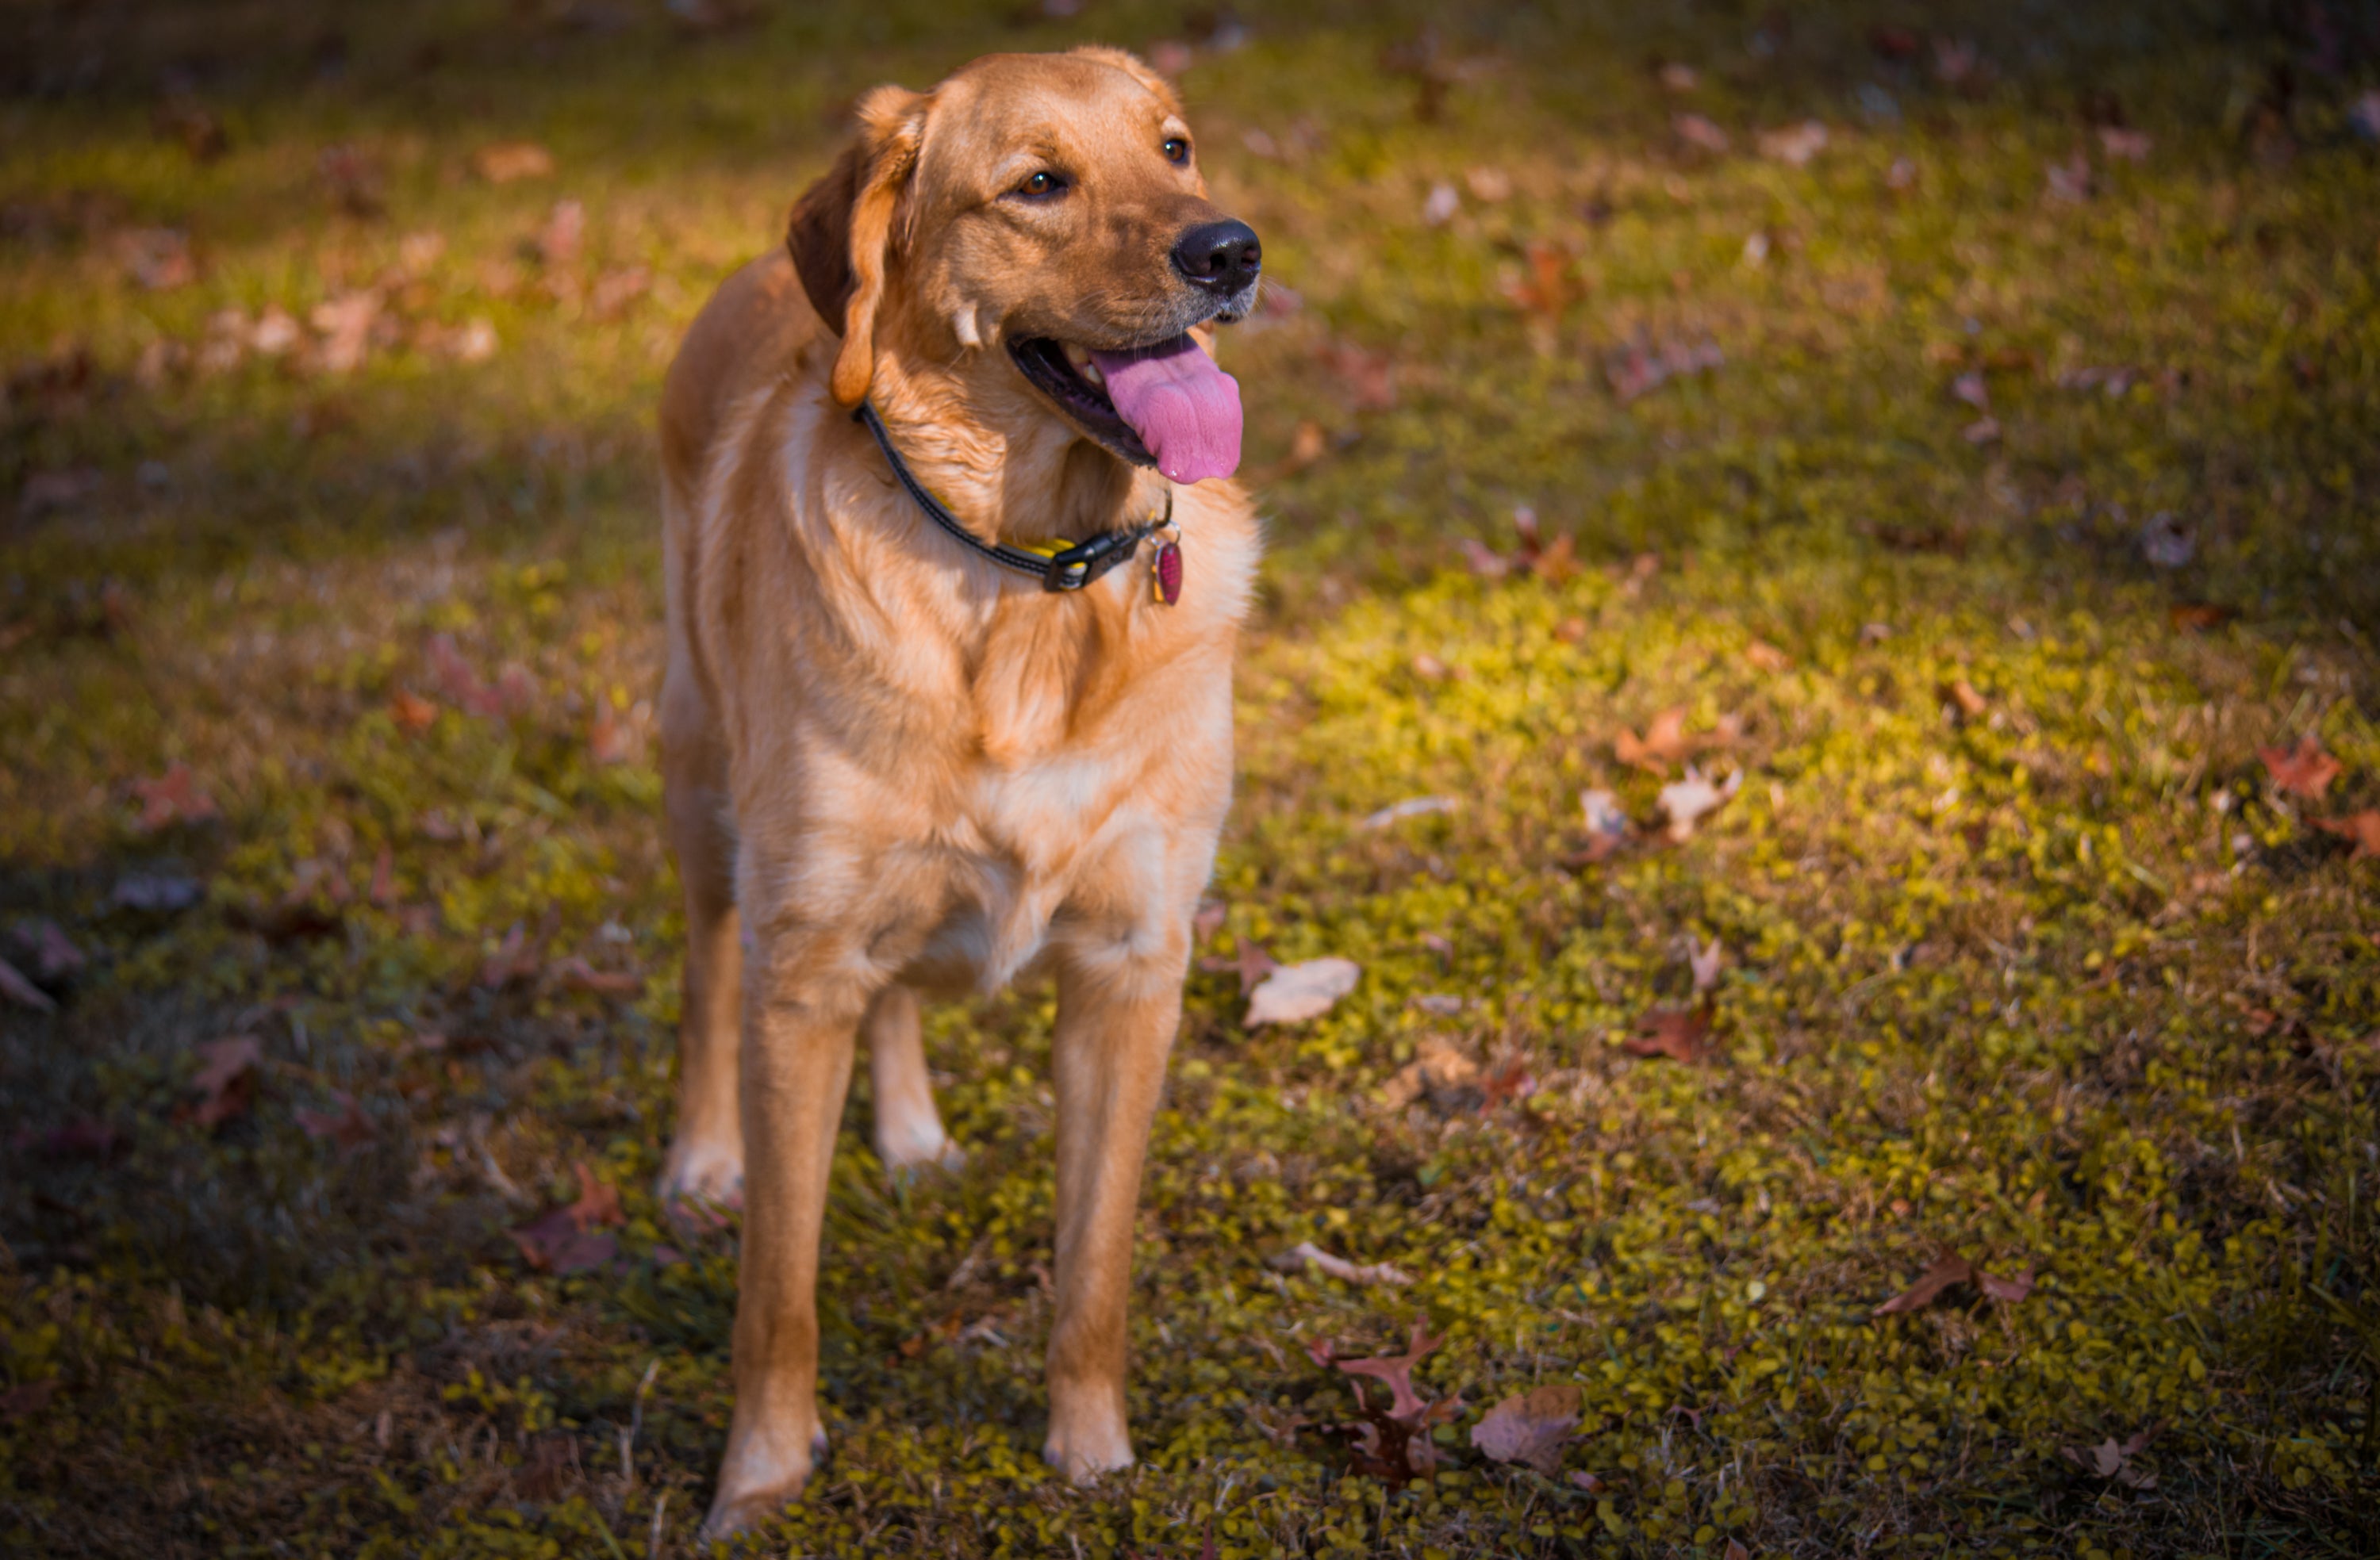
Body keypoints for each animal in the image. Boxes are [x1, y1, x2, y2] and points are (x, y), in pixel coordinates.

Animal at [643, 45, 1257, 1531]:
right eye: (1038, 183)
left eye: (1176, 148)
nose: (1232, 250)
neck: (1029, 574)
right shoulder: (801, 974)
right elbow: (777, 1294)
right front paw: (758, 1484)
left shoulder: (1131, 968)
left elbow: (1093, 1271)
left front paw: (1093, 1458)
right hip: (699, 775)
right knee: (703, 964)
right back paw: (699, 1159)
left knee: (901, 992)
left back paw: (913, 1130)